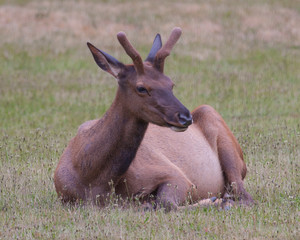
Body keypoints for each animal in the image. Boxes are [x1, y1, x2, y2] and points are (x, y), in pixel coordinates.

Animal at [54, 26, 253, 210]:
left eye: (171, 83)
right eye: (141, 87)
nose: (185, 117)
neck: (92, 179)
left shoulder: (175, 175)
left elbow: (166, 204)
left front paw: (214, 200)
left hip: (221, 134)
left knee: (244, 195)